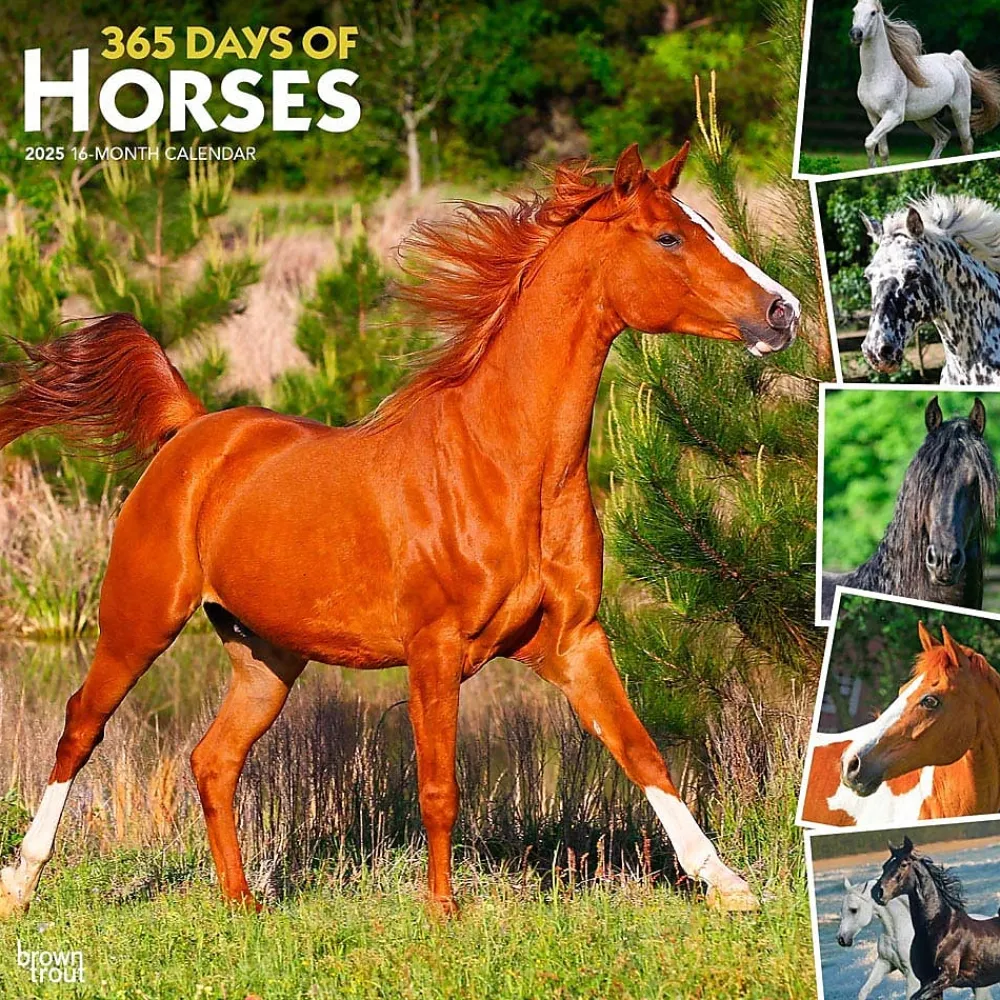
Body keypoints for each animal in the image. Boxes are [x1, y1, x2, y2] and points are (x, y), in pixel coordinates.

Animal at [0, 142, 801, 918]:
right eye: (669, 237)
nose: (783, 312)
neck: (508, 465)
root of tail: (193, 431)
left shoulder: (575, 640)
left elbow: (644, 754)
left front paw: (729, 886)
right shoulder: (434, 650)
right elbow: (439, 788)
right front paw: (443, 912)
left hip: (265, 657)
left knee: (213, 760)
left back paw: (244, 904)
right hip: (138, 622)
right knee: (81, 726)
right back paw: (22, 886)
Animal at [838, 876, 994, 1000]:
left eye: (853, 910)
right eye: (842, 910)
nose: (841, 939)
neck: (899, 933)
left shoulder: (913, 977)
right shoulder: (885, 963)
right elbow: (864, 991)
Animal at [849, 0, 1000, 168]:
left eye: (873, 12)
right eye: (854, 11)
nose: (855, 34)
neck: (876, 76)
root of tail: (954, 59)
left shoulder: (893, 115)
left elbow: (869, 142)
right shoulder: (874, 116)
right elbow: (882, 151)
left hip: (960, 111)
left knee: (966, 143)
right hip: (923, 118)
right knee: (943, 136)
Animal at [873, 837, 1000, 999]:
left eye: (903, 864)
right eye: (885, 866)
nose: (877, 892)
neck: (939, 927)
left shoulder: (945, 977)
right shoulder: (926, 980)